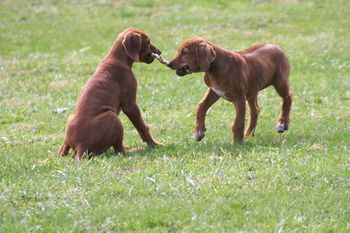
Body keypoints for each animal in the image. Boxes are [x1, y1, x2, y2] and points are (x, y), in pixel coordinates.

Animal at [59, 27, 161, 160]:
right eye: (148, 42)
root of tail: (81, 146)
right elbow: (142, 127)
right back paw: (134, 150)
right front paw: (154, 144)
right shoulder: (130, 104)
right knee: (119, 150)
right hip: (113, 118)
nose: (160, 52)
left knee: (63, 149)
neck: (117, 59)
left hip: (70, 118)